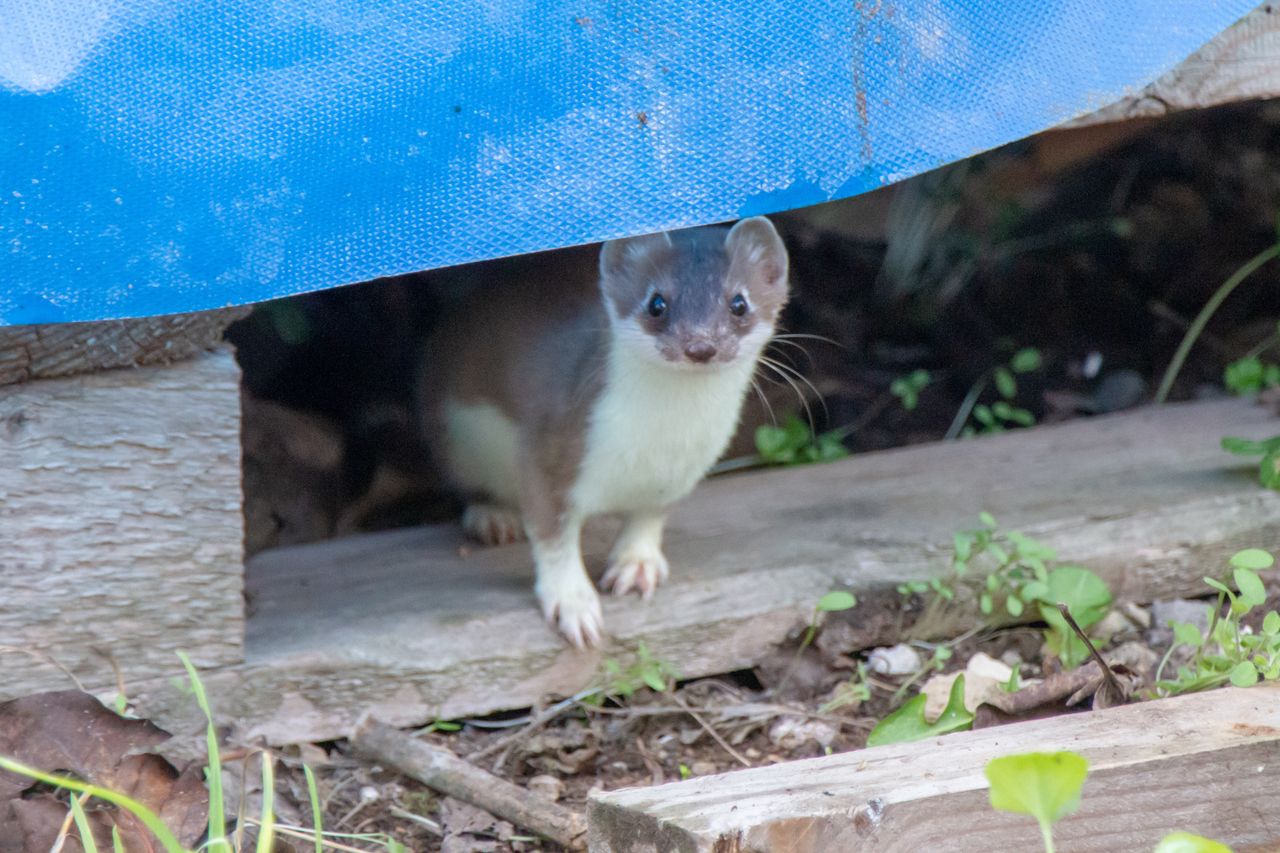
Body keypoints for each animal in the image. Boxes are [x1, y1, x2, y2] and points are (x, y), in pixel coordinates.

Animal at [419, 217, 788, 645]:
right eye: (657, 302)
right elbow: (551, 534)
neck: (654, 441)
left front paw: (636, 565)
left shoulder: (681, 471)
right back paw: (493, 518)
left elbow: (649, 516)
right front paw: (573, 604)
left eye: (739, 302)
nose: (700, 345)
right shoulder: (549, 440)